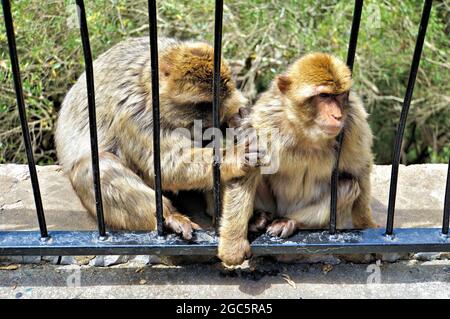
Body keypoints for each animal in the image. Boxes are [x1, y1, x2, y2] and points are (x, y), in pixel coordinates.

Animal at [54, 37, 255, 240]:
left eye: (218, 102)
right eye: (203, 105)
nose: (211, 124)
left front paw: (240, 118)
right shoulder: (137, 113)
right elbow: (166, 164)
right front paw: (235, 155)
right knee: (97, 165)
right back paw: (170, 217)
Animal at [218, 52, 376, 266]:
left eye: (340, 95)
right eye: (324, 96)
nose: (337, 116)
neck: (306, 131)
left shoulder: (353, 124)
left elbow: (360, 169)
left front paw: (365, 224)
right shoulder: (264, 122)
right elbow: (248, 167)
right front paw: (233, 243)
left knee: (348, 186)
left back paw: (289, 222)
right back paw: (257, 221)